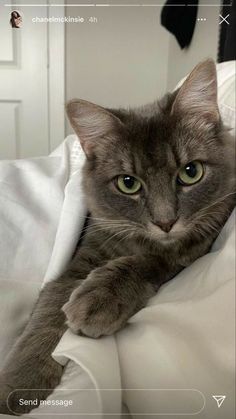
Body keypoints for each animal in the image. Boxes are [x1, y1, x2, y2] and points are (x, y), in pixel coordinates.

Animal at [0, 60, 235, 416]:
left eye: (191, 172)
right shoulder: (81, 256)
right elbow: (47, 311)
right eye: (128, 183)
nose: (166, 222)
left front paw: (100, 298)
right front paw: (17, 385)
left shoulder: (189, 252)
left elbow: (144, 264)